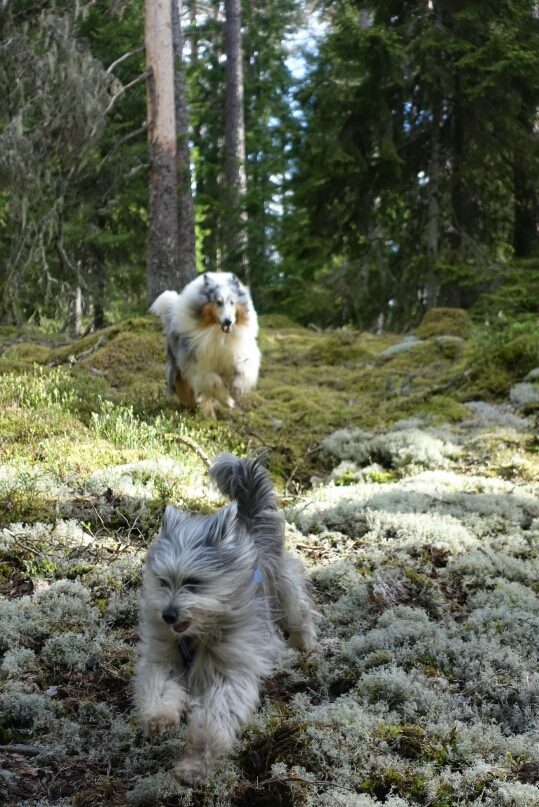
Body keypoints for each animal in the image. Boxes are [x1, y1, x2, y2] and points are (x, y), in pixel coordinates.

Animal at [133, 454, 316, 788]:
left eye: (193, 582)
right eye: (163, 582)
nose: (168, 615)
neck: (198, 634)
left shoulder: (231, 671)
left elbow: (213, 721)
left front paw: (193, 766)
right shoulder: (164, 658)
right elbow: (159, 687)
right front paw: (159, 718)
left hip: (284, 590)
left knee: (300, 612)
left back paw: (304, 644)